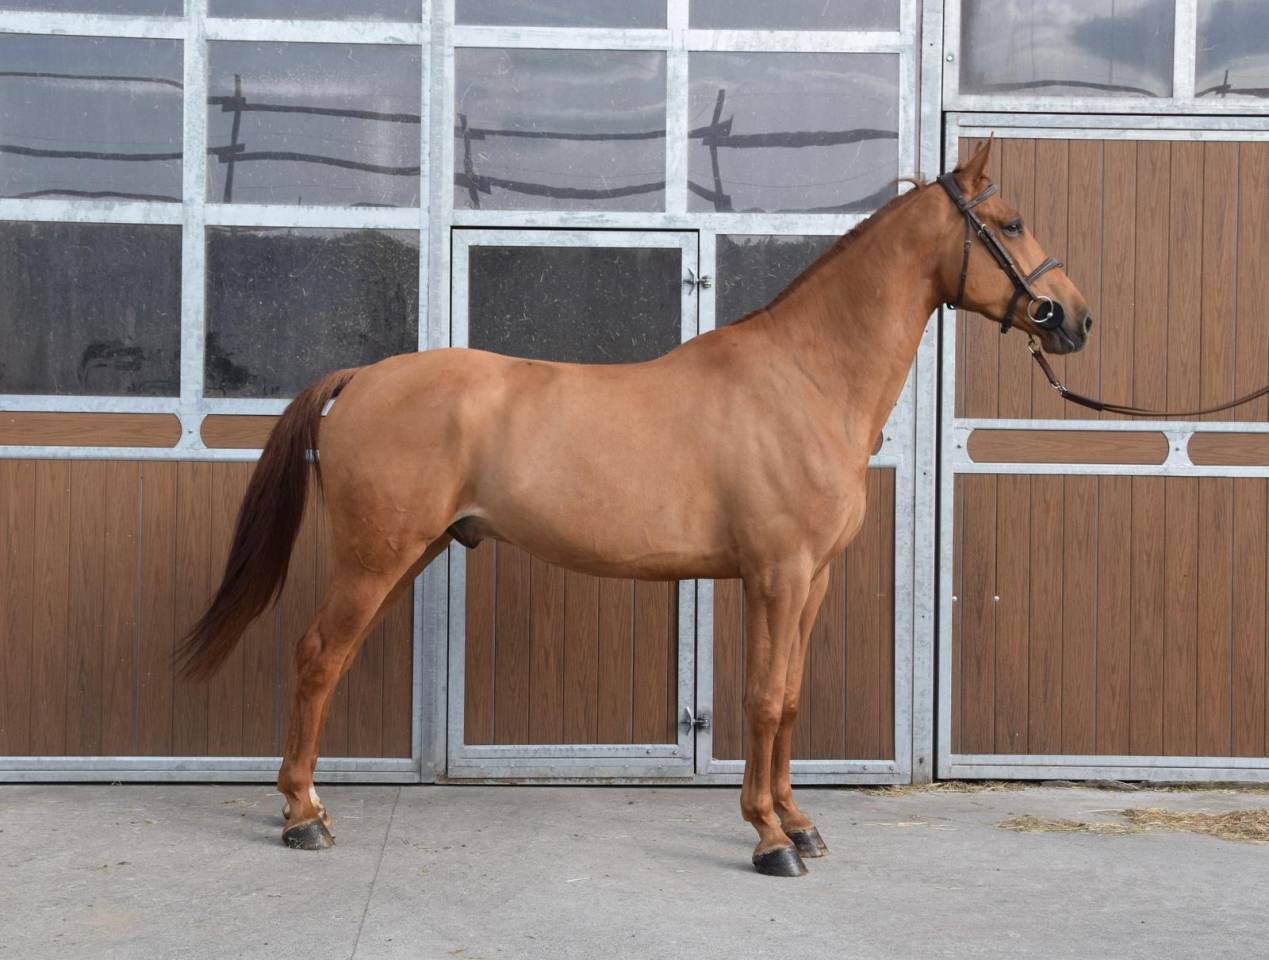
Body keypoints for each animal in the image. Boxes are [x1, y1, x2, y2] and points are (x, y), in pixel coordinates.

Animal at [180, 139, 1092, 877]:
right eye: (1009, 222)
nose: (1075, 319)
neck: (803, 380)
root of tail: (361, 377)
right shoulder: (776, 575)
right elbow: (762, 699)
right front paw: (768, 839)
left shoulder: (813, 581)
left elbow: (792, 698)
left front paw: (799, 823)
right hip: (376, 558)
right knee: (316, 657)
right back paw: (301, 817)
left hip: (410, 553)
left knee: (327, 660)